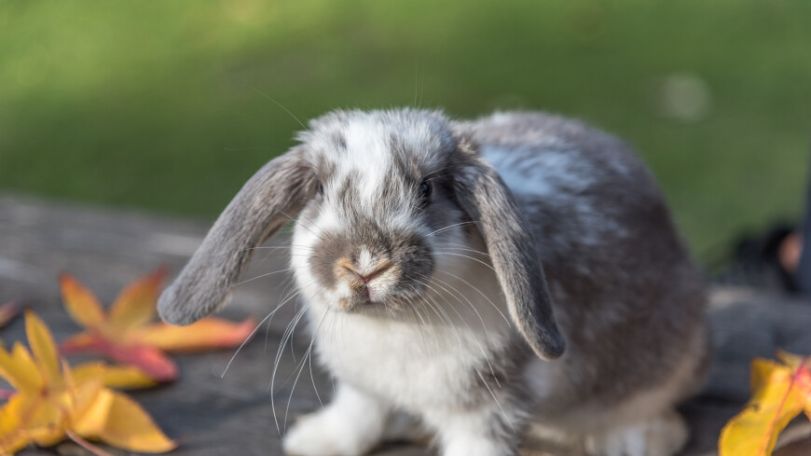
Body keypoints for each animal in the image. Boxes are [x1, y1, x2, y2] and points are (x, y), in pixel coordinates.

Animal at [158, 108, 708, 456]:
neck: (392, 326)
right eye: (318, 191)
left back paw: (630, 441)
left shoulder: (489, 405)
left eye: (426, 190)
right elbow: (358, 415)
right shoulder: (363, 386)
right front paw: (314, 442)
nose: (366, 264)